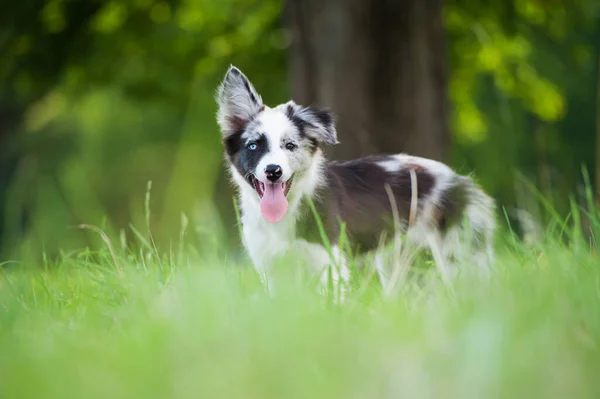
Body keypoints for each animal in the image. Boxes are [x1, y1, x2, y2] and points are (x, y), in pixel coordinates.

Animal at [216, 65, 496, 296]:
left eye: (290, 145)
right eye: (253, 146)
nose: (273, 171)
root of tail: (461, 181)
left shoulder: (328, 263)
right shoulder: (271, 269)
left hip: (461, 254)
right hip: (400, 263)